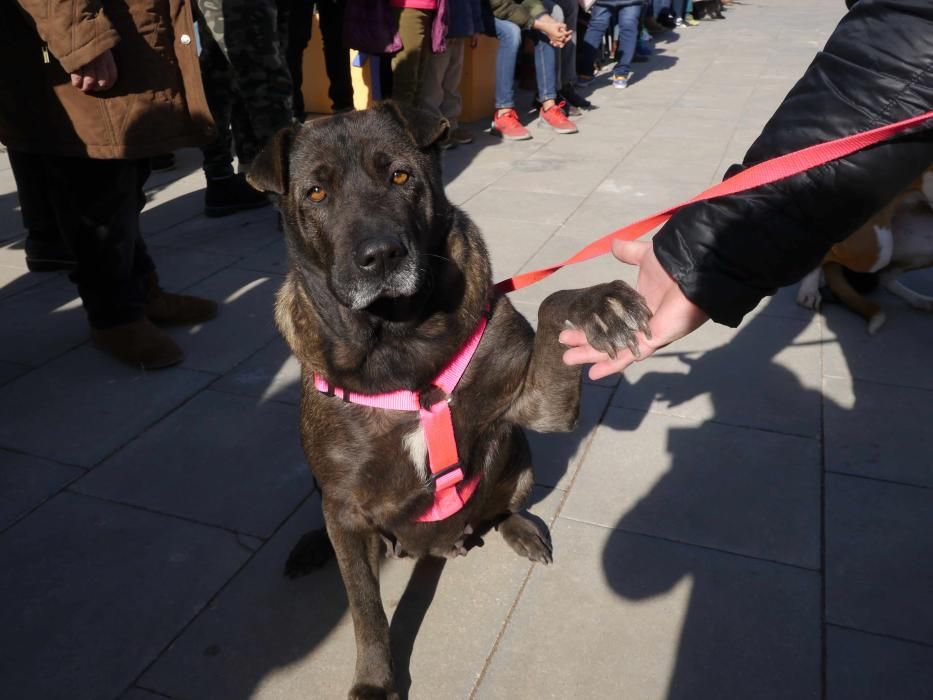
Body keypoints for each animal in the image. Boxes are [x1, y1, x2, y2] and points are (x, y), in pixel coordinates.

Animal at [251, 102, 652, 700]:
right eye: (316, 193)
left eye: (400, 176)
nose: (381, 255)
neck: (400, 345)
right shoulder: (345, 504)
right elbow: (365, 609)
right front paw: (374, 680)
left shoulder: (535, 406)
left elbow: (553, 304)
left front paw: (596, 305)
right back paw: (312, 546)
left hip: (519, 454)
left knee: (499, 505)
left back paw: (519, 528)